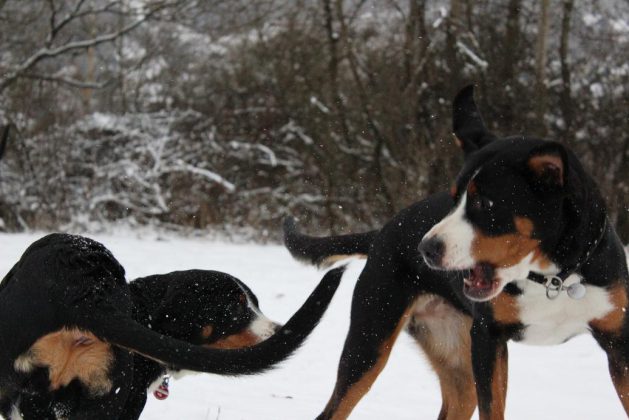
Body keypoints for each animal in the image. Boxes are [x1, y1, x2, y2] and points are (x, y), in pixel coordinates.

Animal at [284, 85, 628, 420]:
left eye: (485, 203)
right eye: (454, 198)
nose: (425, 248)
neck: (554, 279)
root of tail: (383, 230)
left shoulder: (618, 342)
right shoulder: (488, 338)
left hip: (457, 364)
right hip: (371, 341)